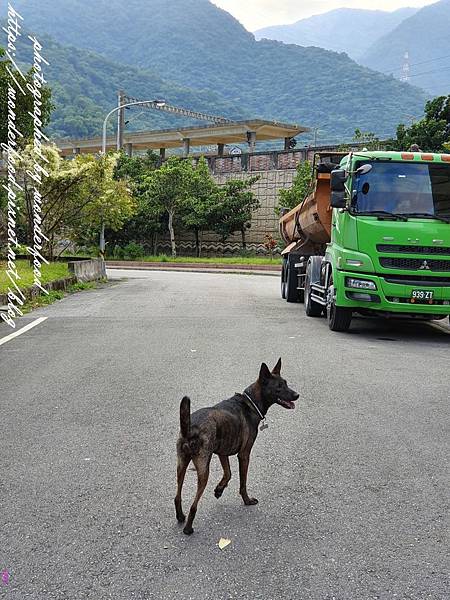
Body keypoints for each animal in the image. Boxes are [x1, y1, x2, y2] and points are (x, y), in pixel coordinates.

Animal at [175, 358, 298, 536]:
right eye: (279, 387)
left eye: (286, 383)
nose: (297, 395)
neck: (250, 403)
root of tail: (191, 428)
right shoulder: (244, 455)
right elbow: (242, 482)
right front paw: (247, 500)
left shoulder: (222, 452)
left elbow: (228, 473)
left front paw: (219, 489)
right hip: (203, 470)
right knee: (193, 504)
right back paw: (188, 528)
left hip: (181, 465)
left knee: (177, 496)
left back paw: (180, 516)